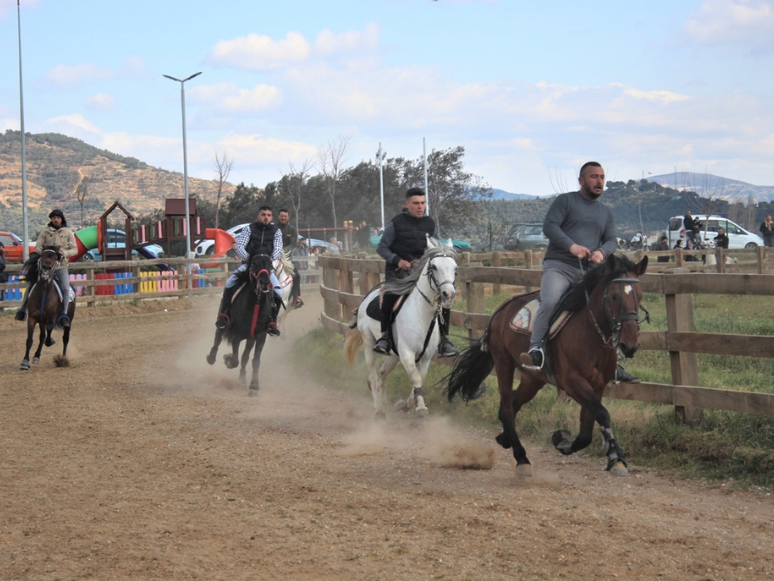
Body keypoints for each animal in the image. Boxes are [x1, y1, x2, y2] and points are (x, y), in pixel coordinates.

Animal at [208, 254, 274, 394]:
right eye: (254, 264)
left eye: (270, 264)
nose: (264, 283)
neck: (255, 304)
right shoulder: (236, 335)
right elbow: (235, 360)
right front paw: (227, 359)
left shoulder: (260, 336)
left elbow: (254, 360)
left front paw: (254, 385)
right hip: (222, 323)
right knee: (217, 339)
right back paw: (211, 358)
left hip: (250, 338)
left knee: (245, 357)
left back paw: (242, 379)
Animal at [344, 239, 458, 416]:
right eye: (434, 267)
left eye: (455, 268)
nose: (449, 294)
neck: (420, 313)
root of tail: (366, 299)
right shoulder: (407, 353)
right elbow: (415, 377)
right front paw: (421, 407)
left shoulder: (425, 357)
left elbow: (420, 378)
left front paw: (410, 403)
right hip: (370, 344)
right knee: (373, 377)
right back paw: (379, 410)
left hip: (393, 354)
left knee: (383, 372)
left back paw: (384, 402)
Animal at [448, 254, 648, 476]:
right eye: (614, 296)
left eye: (639, 295)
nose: (630, 345)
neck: (591, 333)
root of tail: (500, 310)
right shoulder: (573, 382)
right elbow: (602, 415)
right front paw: (612, 456)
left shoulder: (597, 385)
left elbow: (587, 429)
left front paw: (571, 443)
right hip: (503, 364)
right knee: (507, 409)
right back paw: (522, 459)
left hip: (533, 379)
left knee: (511, 406)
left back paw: (505, 438)